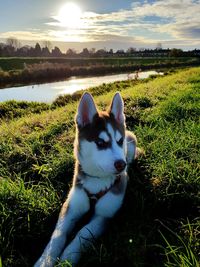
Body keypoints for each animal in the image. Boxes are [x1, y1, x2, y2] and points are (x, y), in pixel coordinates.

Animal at [34, 92, 139, 267]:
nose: (121, 165)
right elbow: (58, 234)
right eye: (100, 142)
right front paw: (45, 260)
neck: (97, 180)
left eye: (119, 141)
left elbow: (83, 233)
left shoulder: (104, 215)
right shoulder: (71, 206)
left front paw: (68, 258)